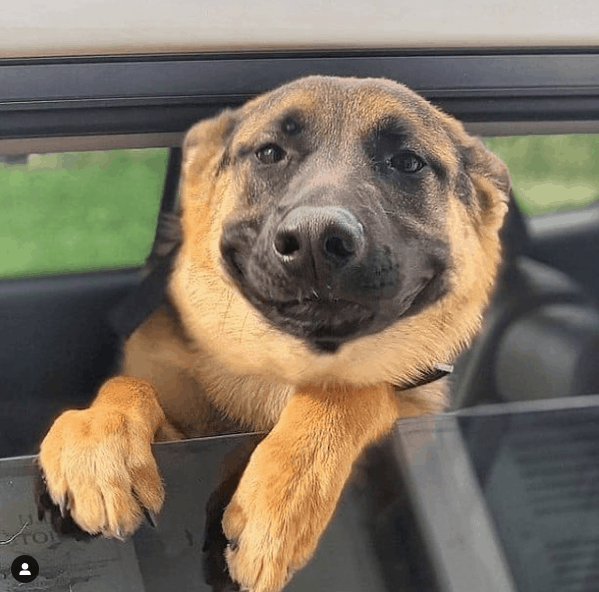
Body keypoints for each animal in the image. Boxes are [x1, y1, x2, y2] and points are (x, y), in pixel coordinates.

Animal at [36, 75, 510, 592]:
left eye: (407, 162)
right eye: (269, 153)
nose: (315, 241)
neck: (278, 368)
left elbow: (348, 392)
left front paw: (281, 502)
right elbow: (129, 385)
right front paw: (96, 439)